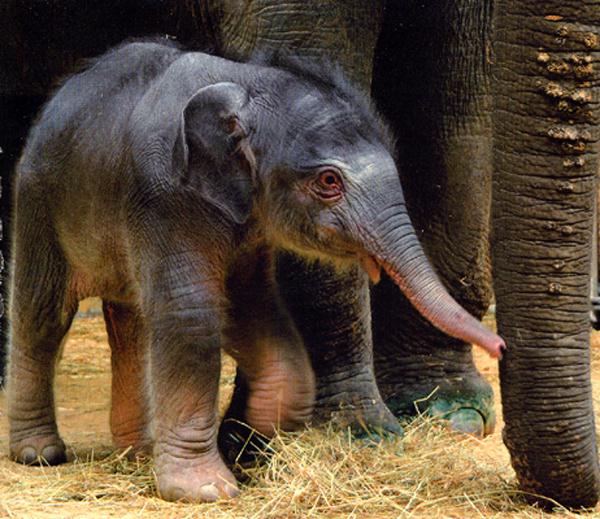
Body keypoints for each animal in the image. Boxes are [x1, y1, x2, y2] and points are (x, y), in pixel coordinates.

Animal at [1, 0, 596, 510]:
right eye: (329, 182)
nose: (501, 345)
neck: (245, 83)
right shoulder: (165, 195)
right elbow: (194, 315)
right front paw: (208, 490)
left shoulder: (246, 222)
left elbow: (252, 312)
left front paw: (259, 443)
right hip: (38, 199)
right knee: (43, 315)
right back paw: (40, 453)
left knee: (130, 320)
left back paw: (138, 451)